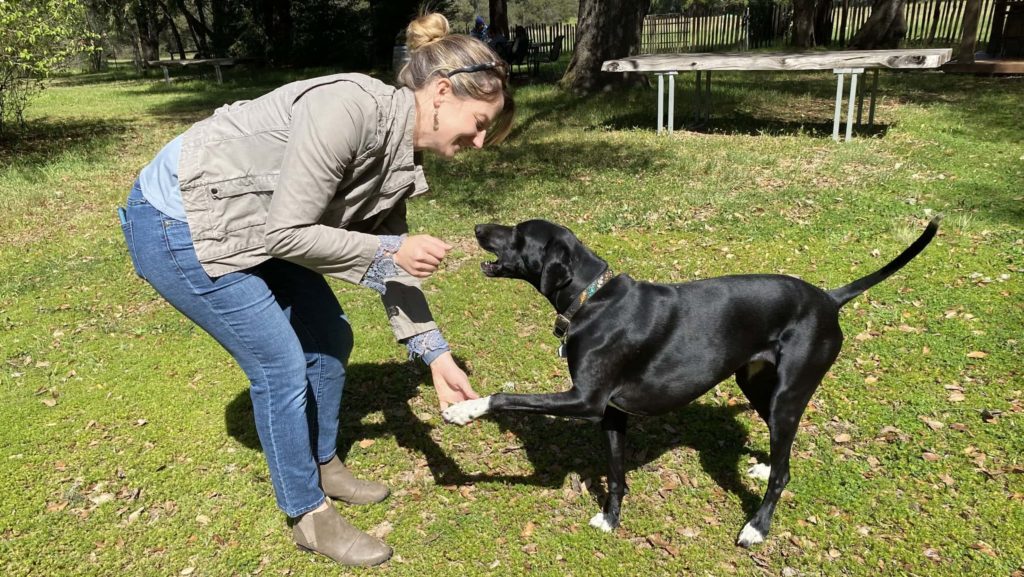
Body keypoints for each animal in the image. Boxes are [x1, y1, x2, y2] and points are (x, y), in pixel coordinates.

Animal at [444, 217, 937, 545]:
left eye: (518, 233)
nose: (478, 227)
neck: (592, 300)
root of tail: (829, 299)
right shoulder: (611, 415)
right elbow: (616, 474)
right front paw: (611, 519)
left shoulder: (584, 401)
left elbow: (506, 395)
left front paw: (464, 409)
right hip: (758, 387)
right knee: (782, 456)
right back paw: (763, 466)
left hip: (787, 395)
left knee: (784, 472)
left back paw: (757, 527)